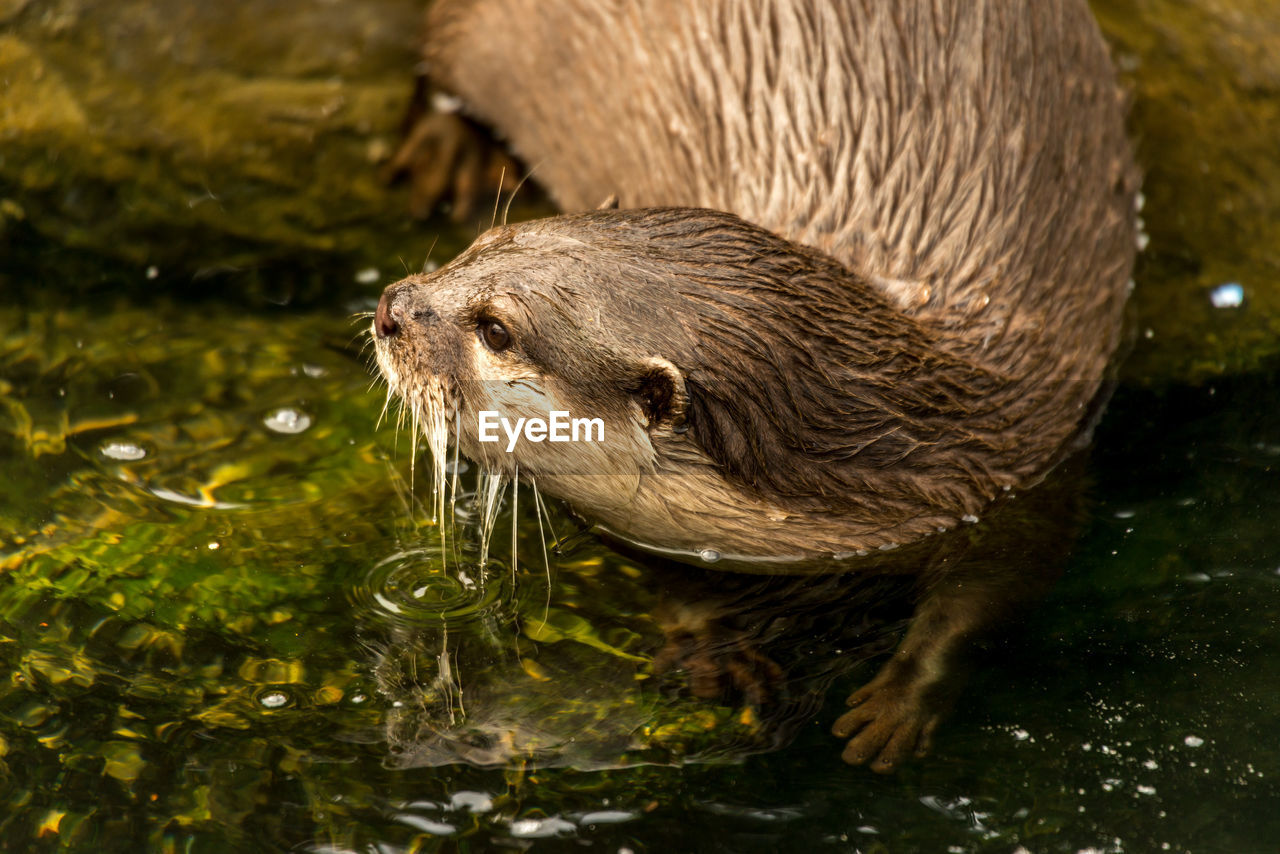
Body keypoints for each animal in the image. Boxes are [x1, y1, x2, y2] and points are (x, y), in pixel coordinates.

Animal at [371, 0, 1141, 773]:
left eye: (497, 329)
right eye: (477, 246)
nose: (390, 309)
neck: (913, 449)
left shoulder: (1028, 482)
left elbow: (989, 600)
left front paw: (898, 704)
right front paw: (716, 646)